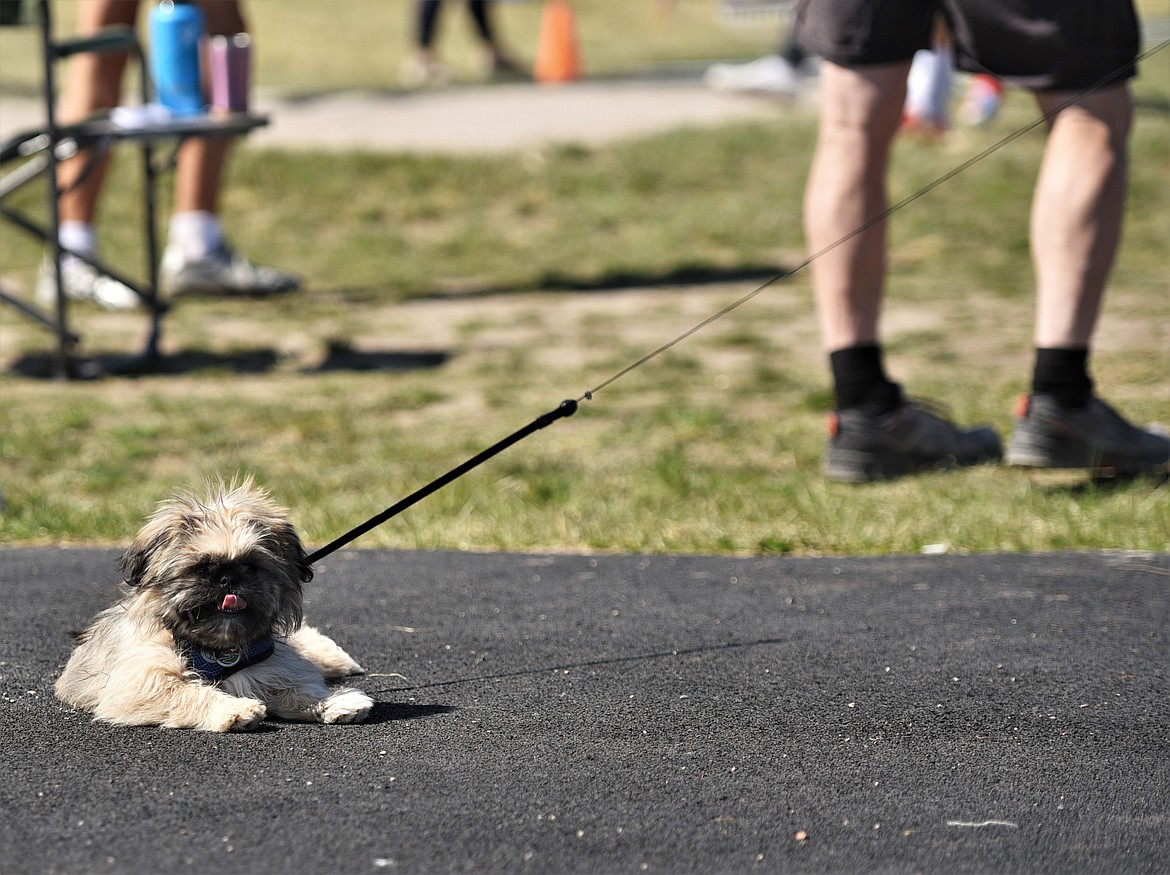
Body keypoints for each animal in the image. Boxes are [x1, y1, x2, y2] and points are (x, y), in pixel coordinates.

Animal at [54, 479, 372, 729]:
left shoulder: (271, 668)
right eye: (201, 567)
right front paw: (234, 709)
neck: (219, 648)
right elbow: (189, 692)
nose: (228, 579)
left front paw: (335, 702)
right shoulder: (141, 681)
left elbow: (298, 689)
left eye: (251, 565)